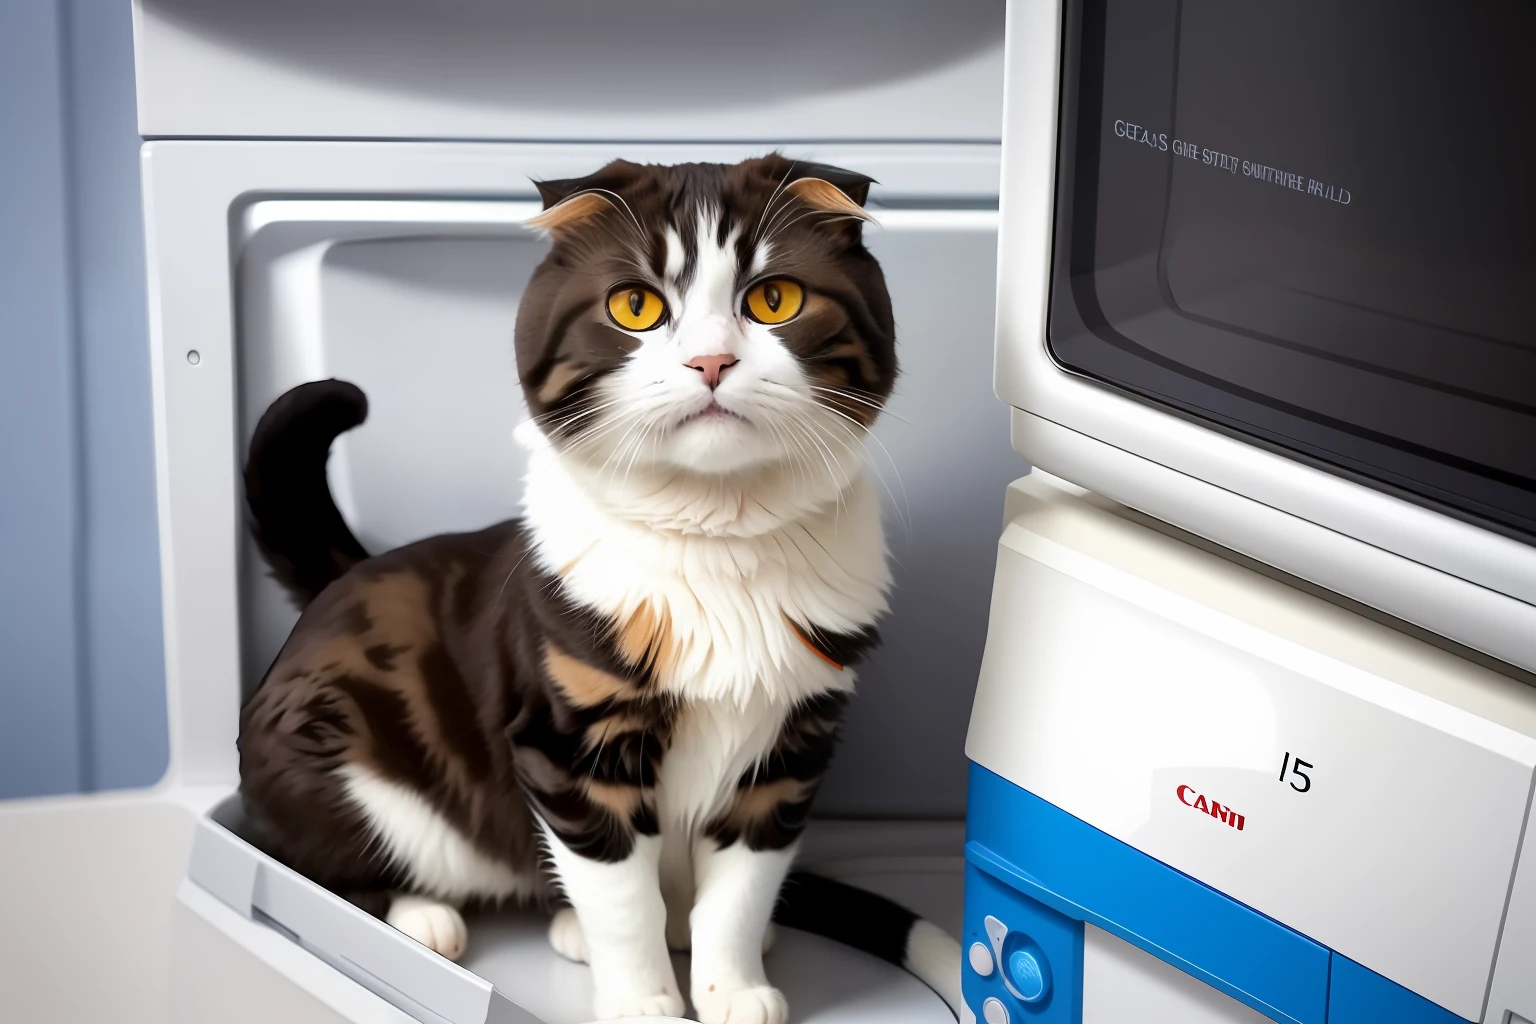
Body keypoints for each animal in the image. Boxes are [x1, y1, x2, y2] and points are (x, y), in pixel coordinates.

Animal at [239, 154, 958, 1024]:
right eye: (636, 307)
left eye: (774, 299)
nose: (710, 362)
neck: (715, 540)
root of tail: (343, 580)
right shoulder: (574, 746)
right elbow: (622, 900)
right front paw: (645, 1002)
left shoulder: (789, 752)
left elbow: (741, 890)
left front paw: (732, 986)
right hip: (336, 759)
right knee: (308, 857)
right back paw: (424, 918)